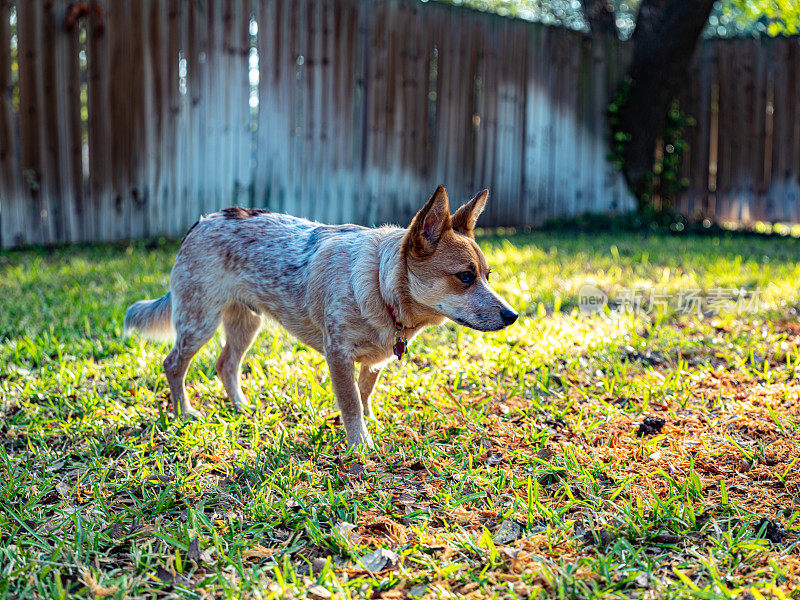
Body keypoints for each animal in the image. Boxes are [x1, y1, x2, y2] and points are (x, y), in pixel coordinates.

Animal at [122, 185, 516, 448]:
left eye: (488, 275)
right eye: (465, 277)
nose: (512, 315)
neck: (378, 284)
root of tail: (201, 221)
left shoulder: (375, 360)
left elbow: (364, 393)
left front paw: (370, 422)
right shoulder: (337, 354)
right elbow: (350, 401)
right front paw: (360, 444)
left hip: (247, 323)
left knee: (226, 364)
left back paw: (241, 407)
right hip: (199, 321)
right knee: (173, 363)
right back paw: (184, 412)